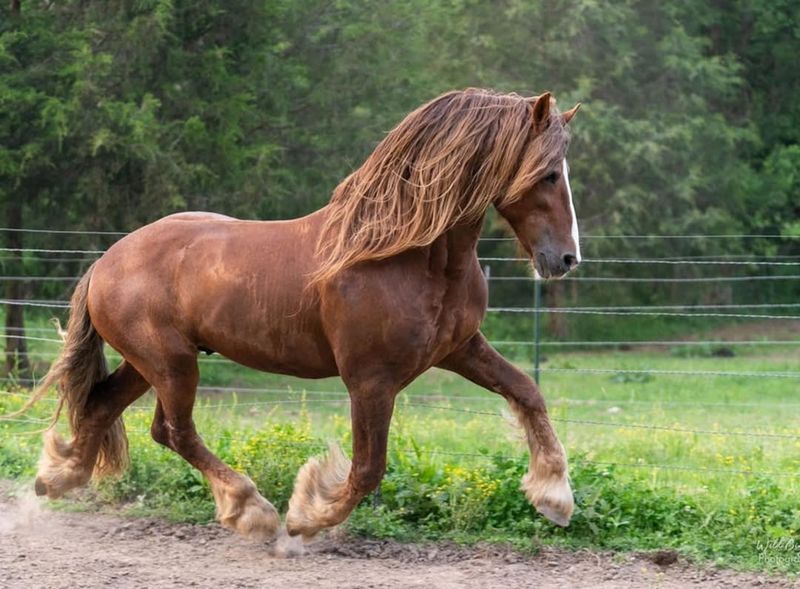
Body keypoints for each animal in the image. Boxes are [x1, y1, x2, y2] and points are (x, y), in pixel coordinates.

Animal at [25, 86, 580, 536]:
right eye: (550, 175)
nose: (566, 259)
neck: (408, 252)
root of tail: (105, 262)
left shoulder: (459, 349)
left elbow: (526, 391)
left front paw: (554, 497)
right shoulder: (371, 380)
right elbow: (367, 468)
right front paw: (306, 517)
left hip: (149, 364)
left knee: (104, 406)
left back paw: (56, 477)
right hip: (171, 364)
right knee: (173, 431)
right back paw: (251, 510)